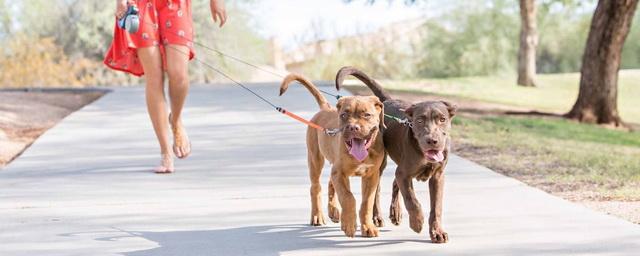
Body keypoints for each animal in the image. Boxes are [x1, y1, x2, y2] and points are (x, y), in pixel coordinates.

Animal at [278, 73, 384, 237]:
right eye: (344, 115)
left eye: (367, 115)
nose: (353, 127)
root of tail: (326, 108)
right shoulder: (340, 173)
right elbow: (348, 197)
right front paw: (349, 224)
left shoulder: (371, 176)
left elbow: (366, 203)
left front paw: (368, 227)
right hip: (315, 160)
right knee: (316, 188)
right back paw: (318, 216)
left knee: (329, 182)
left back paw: (333, 211)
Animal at [336, 67, 456, 243]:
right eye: (419, 120)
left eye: (442, 119)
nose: (432, 141)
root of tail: (387, 100)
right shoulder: (404, 173)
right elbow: (412, 200)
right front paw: (417, 222)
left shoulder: (438, 176)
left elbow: (436, 207)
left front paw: (437, 232)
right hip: (382, 164)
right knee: (378, 190)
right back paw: (378, 217)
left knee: (394, 183)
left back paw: (395, 213)